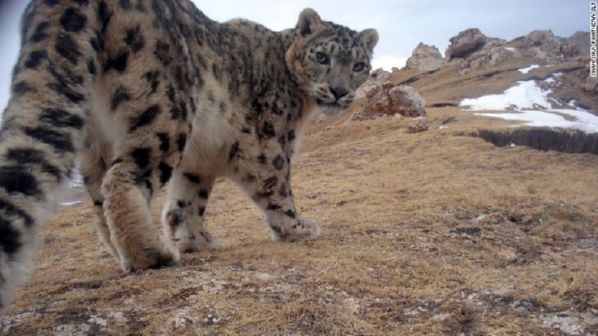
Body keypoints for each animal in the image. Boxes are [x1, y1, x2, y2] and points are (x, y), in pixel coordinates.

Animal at [0, 0, 380, 306]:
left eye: (359, 65)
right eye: (322, 57)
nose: (339, 91)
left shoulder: (198, 162)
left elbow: (187, 200)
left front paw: (195, 239)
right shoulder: (269, 143)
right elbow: (277, 185)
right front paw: (297, 227)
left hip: (95, 141)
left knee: (99, 199)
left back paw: (126, 254)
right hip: (165, 111)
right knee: (124, 176)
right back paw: (151, 254)